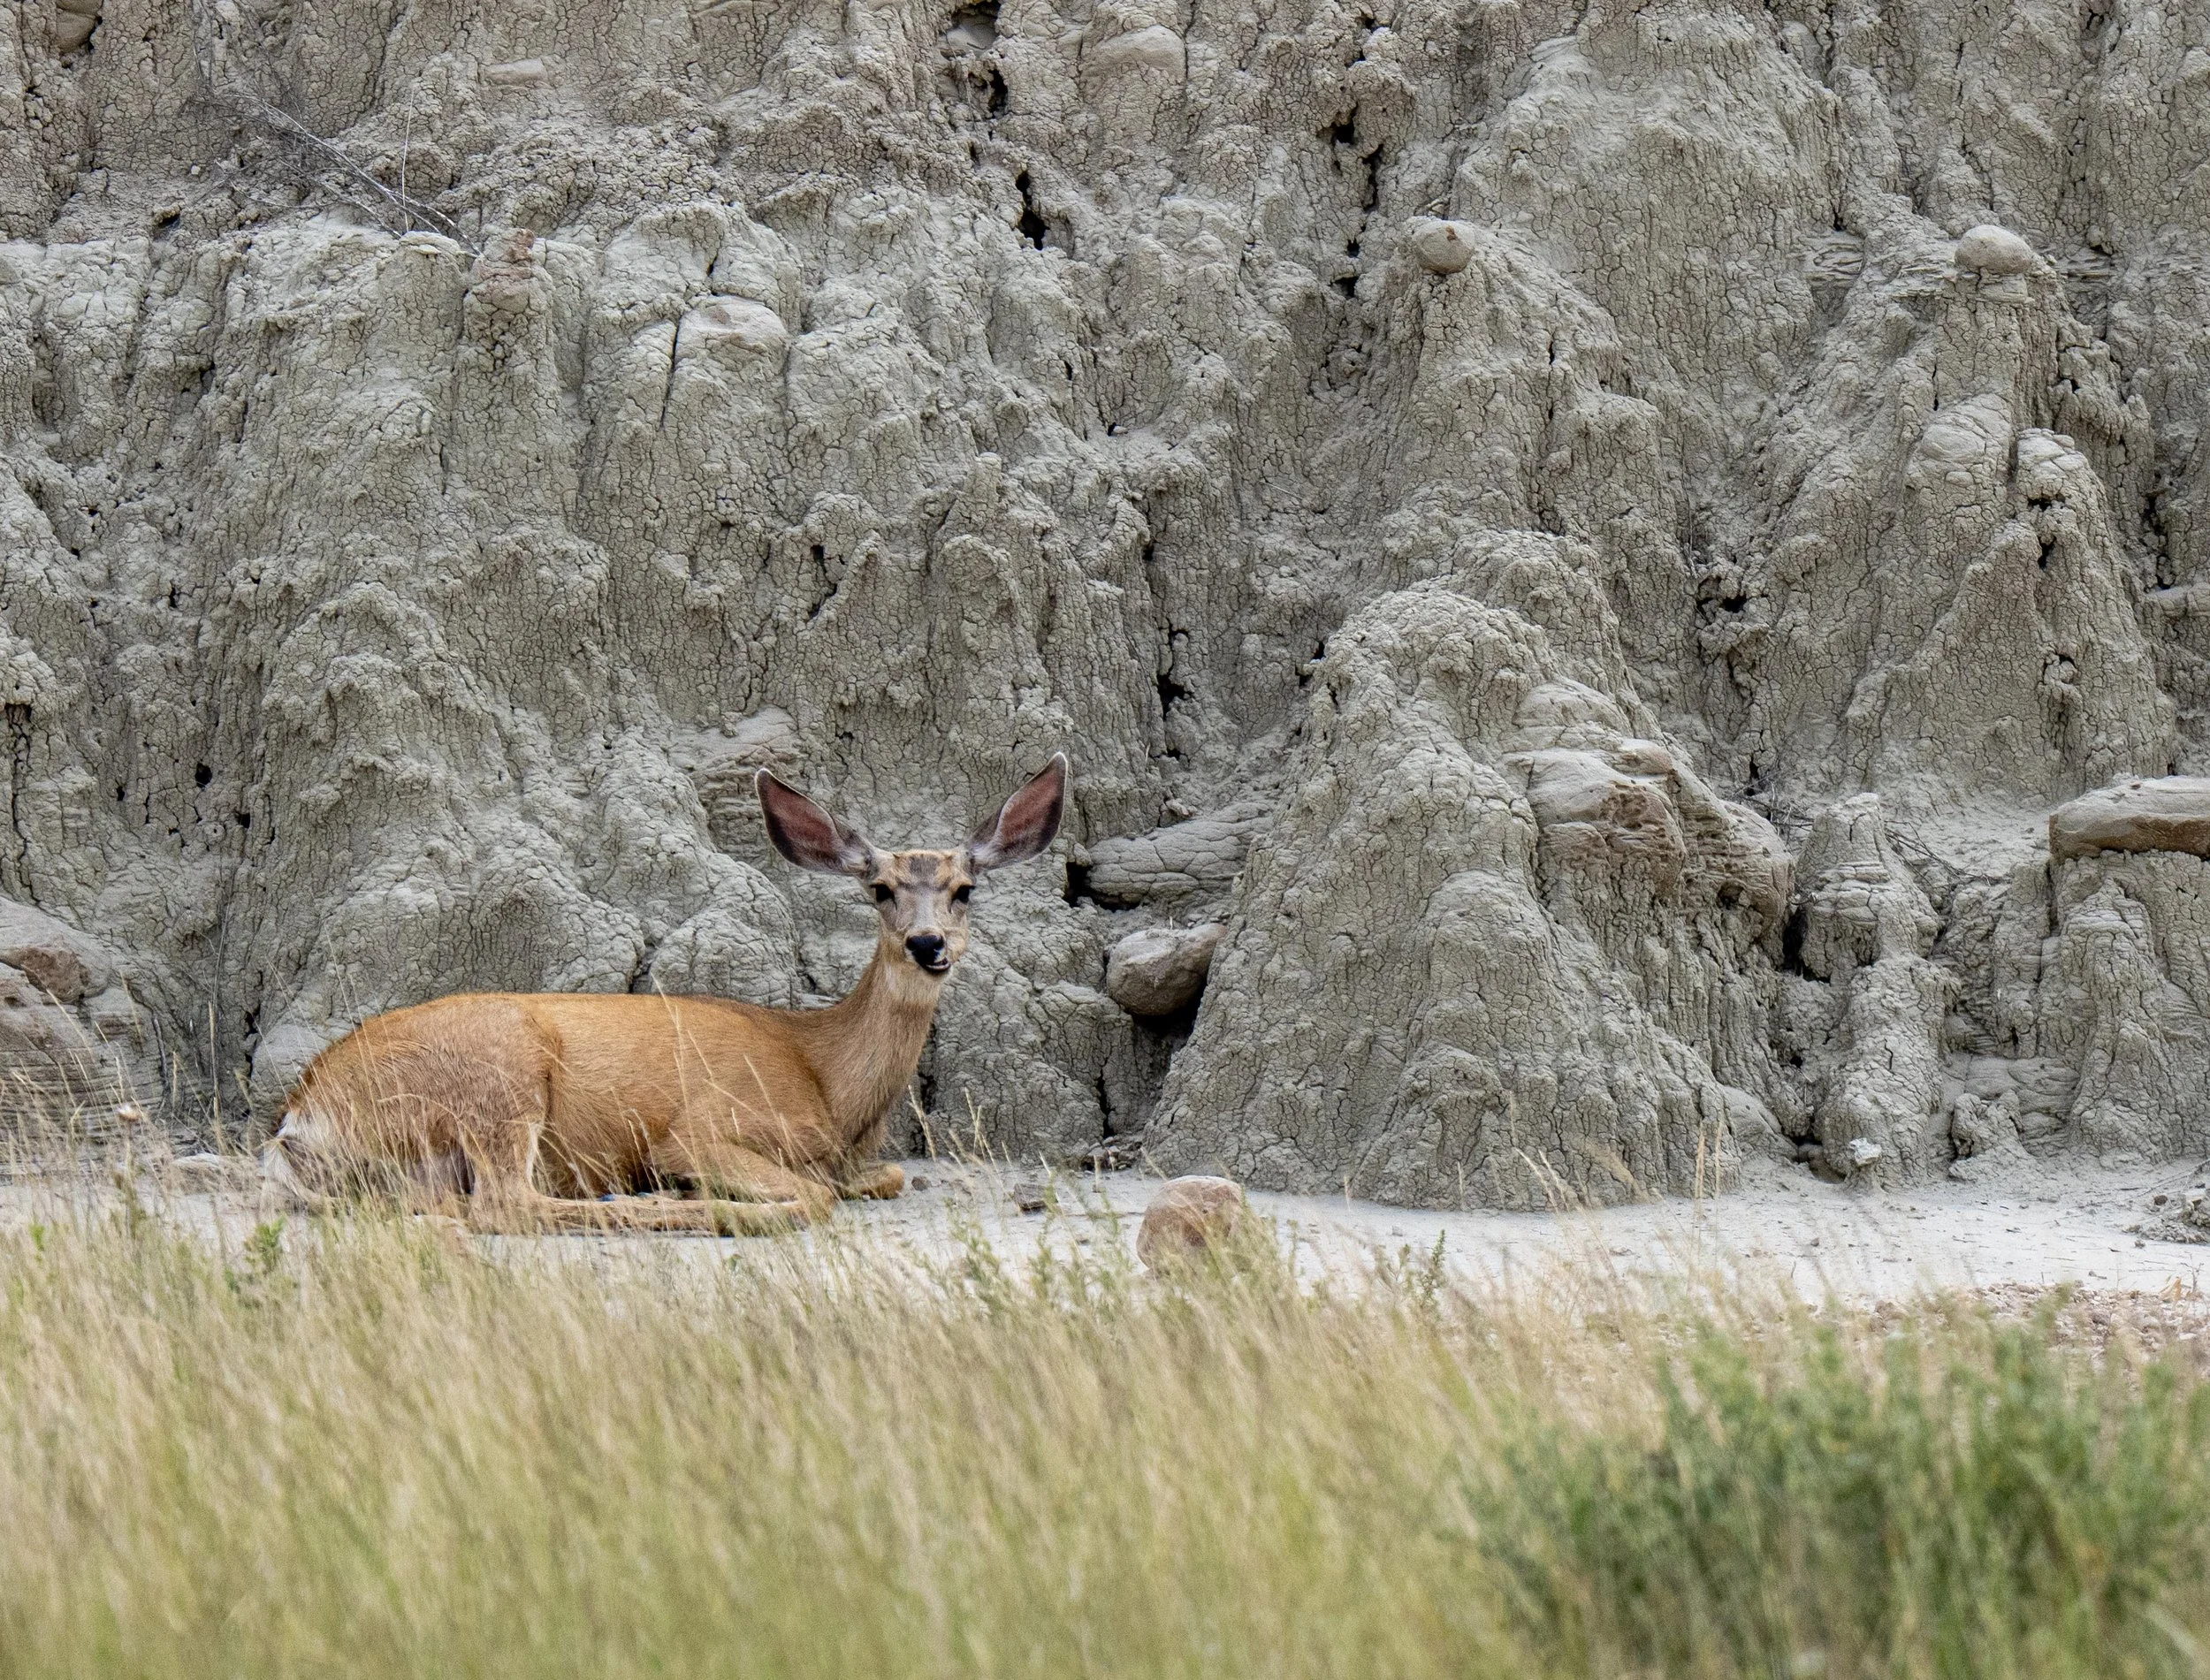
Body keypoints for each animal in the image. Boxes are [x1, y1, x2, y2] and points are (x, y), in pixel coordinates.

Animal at [260, 755, 1068, 1234]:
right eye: (880, 889)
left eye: (965, 889)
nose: (927, 945)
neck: (826, 1076)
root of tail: (302, 1115)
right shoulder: (705, 1125)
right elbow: (818, 1192)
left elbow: (890, 1174)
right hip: (498, 1074)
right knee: (505, 1204)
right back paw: (660, 1197)